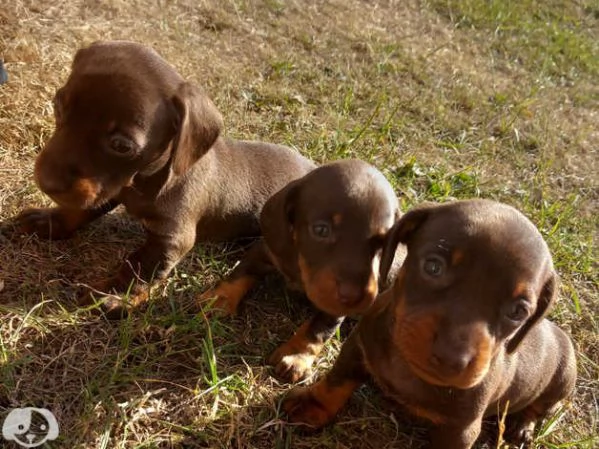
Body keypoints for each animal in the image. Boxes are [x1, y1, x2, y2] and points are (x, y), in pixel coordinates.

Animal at [9, 41, 316, 316]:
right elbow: (80, 209)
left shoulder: (170, 239)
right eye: (57, 105)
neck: (144, 182)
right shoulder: (107, 189)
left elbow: (139, 268)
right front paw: (49, 220)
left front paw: (116, 295)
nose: (46, 181)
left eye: (121, 145)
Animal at [198, 158, 404, 382]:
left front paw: (296, 356)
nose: (355, 297)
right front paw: (220, 298)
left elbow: (318, 329)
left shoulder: (334, 306)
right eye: (321, 229)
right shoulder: (266, 251)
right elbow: (242, 272)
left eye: (382, 242)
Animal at [284, 200, 580, 448]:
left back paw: (522, 427)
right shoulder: (358, 346)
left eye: (518, 311)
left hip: (563, 379)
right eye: (433, 267)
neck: (409, 368)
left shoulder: (460, 431)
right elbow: (337, 380)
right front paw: (312, 405)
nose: (451, 359)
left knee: (540, 408)